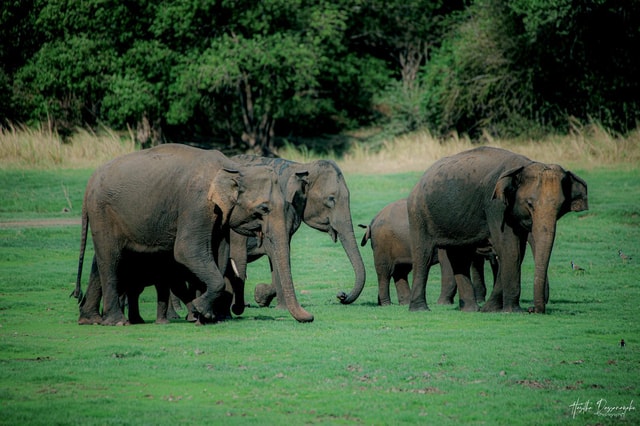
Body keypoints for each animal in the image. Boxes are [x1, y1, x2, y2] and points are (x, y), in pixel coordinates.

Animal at [72, 143, 313, 325]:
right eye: (263, 208)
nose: (311, 317)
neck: (232, 168)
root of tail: (88, 185)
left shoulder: (218, 214)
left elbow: (219, 252)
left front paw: (206, 316)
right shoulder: (197, 203)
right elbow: (187, 250)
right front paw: (200, 311)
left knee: (100, 261)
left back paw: (90, 319)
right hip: (102, 211)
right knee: (110, 258)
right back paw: (117, 322)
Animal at [228, 155, 366, 309]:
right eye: (331, 199)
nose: (341, 295)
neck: (301, 167)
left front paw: (262, 295)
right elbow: (275, 251)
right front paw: (277, 305)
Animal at [359, 198, 494, 307]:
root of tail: (373, 221)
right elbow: (448, 262)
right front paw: (443, 304)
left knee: (401, 271)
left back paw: (405, 302)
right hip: (382, 244)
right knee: (385, 272)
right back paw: (387, 304)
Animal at [407, 146, 588, 314]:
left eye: (560, 207)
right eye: (529, 204)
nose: (532, 309)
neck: (524, 166)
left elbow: (517, 252)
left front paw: (491, 309)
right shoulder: (495, 206)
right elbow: (510, 249)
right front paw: (512, 311)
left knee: (458, 256)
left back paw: (471, 309)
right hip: (418, 213)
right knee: (423, 255)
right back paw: (420, 309)